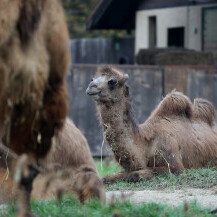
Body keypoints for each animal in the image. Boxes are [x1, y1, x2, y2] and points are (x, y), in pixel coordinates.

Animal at [86, 65, 217, 183]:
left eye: (112, 81)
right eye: (92, 78)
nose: (90, 87)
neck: (146, 142)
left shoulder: (175, 165)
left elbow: (134, 175)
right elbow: (106, 178)